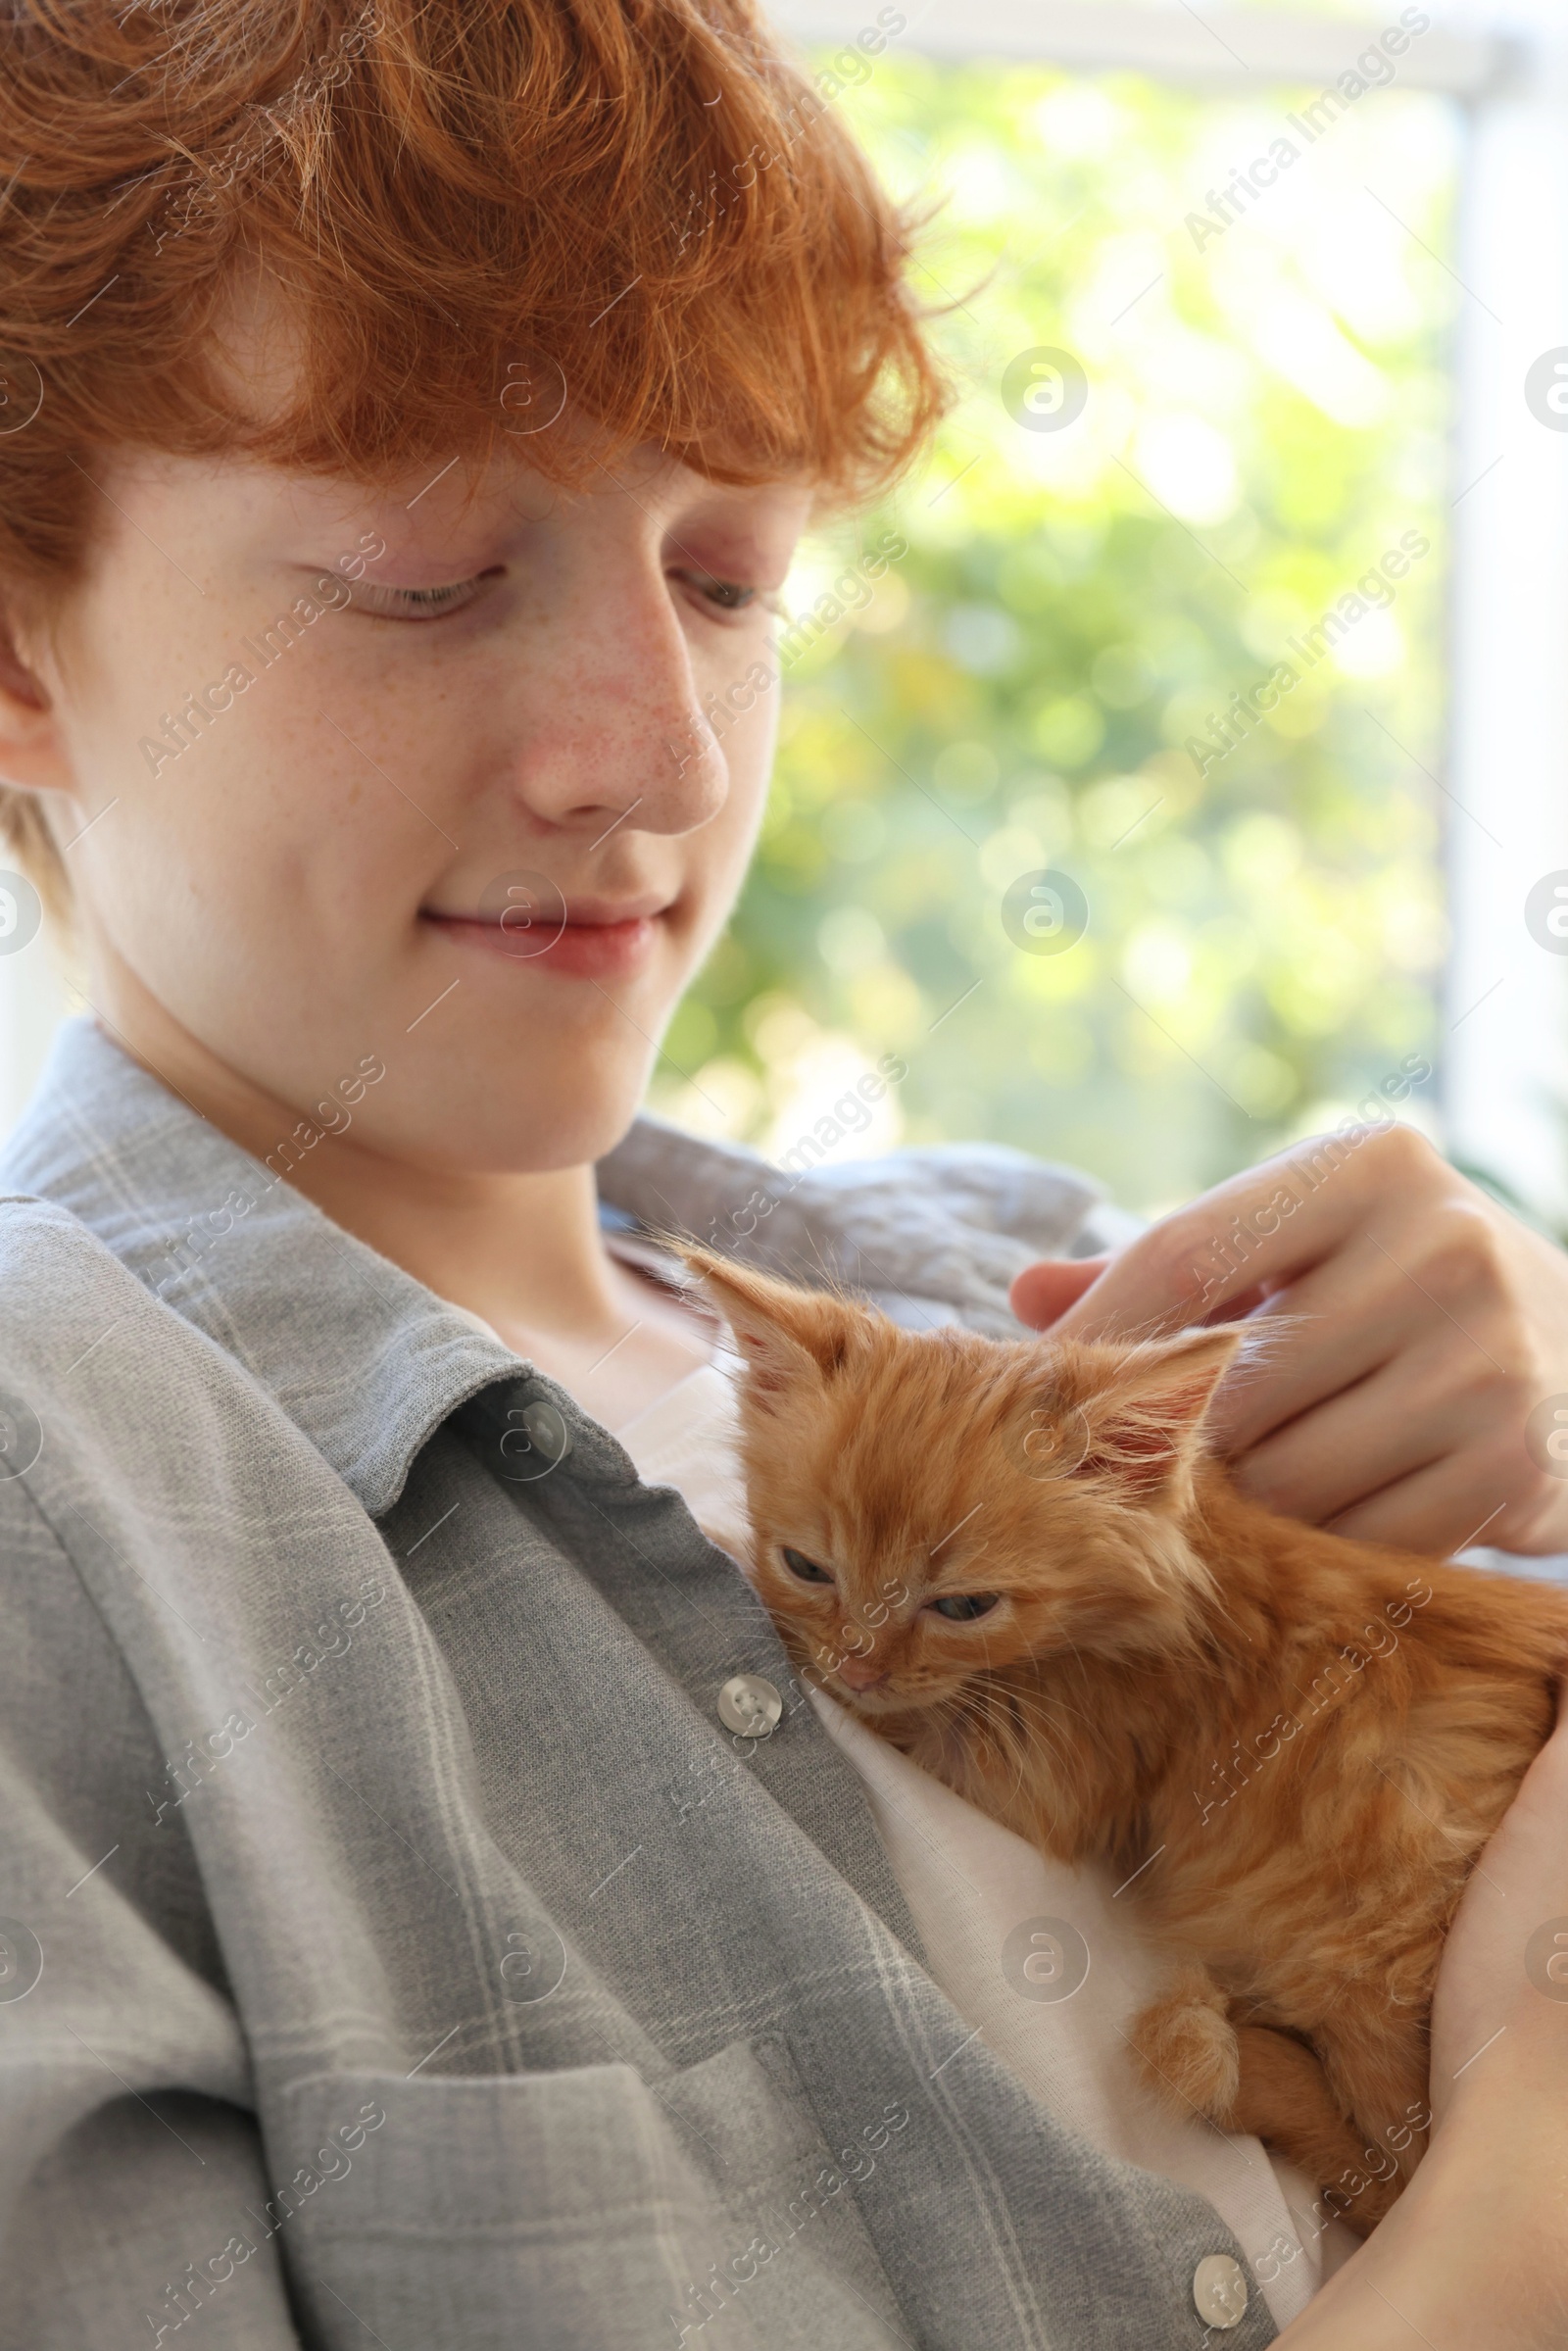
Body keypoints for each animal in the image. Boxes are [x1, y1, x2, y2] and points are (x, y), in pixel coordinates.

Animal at [681, 1241, 1568, 2229]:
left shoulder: (1054, 1770)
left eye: (964, 1606)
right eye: (807, 1565)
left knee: (1399, 2175)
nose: (858, 1663)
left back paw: (1245, 2066)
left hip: (1370, 1961)